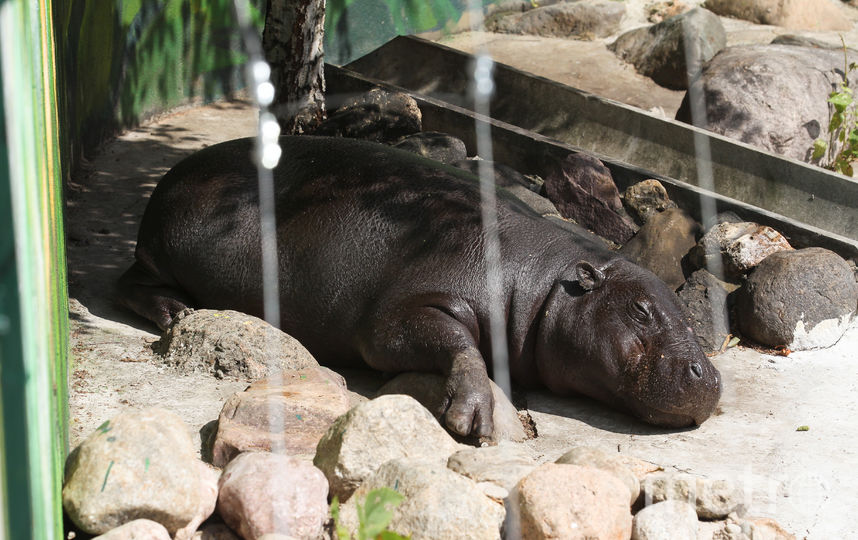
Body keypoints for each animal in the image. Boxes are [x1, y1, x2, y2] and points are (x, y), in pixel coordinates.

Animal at [117, 136, 720, 438]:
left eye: (684, 312)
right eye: (641, 310)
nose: (709, 376)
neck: (547, 279)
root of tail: (174, 172)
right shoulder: (400, 313)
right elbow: (455, 343)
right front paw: (476, 421)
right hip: (169, 248)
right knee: (129, 280)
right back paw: (173, 312)